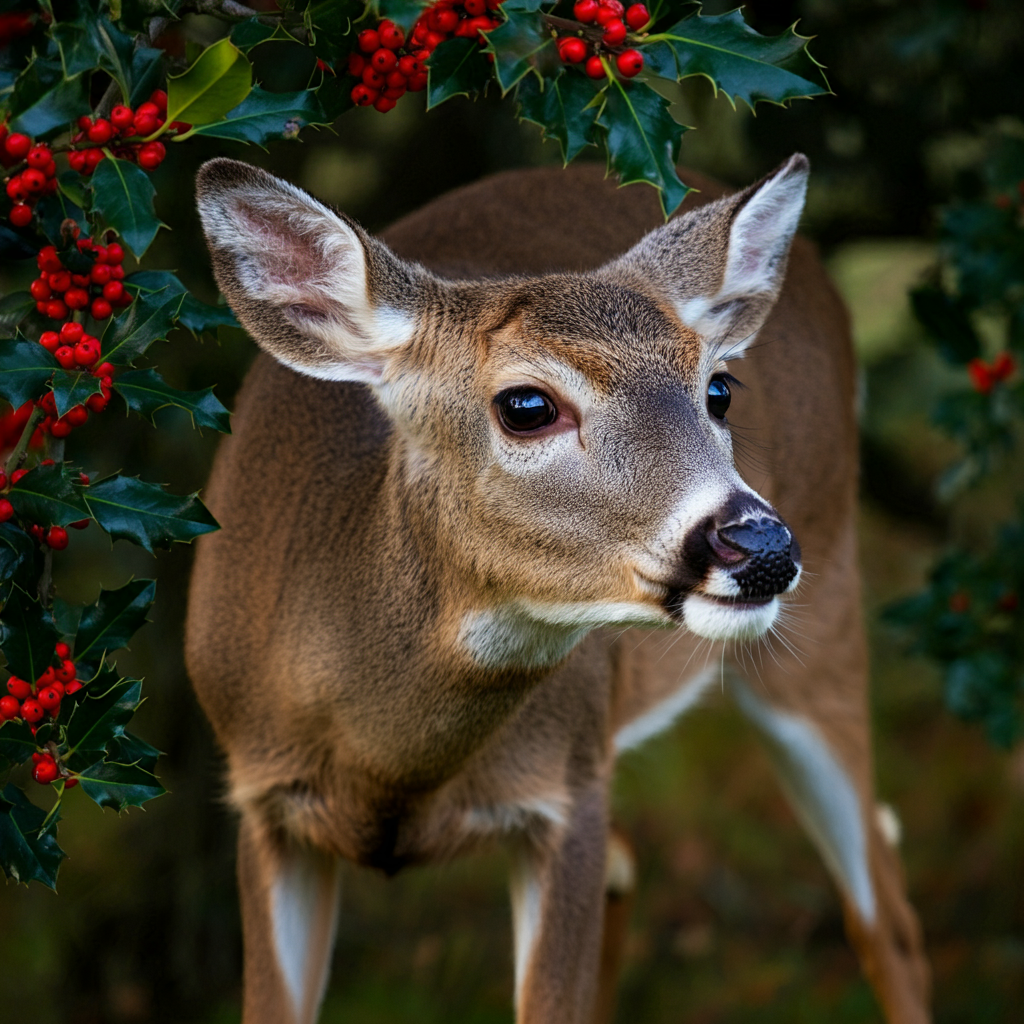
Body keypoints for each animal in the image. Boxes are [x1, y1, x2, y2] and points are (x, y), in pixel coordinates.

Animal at [188, 151, 933, 1024]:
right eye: (526, 405)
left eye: (718, 389)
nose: (761, 545)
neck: (383, 763)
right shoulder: (264, 808)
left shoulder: (566, 794)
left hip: (829, 597)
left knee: (886, 915)